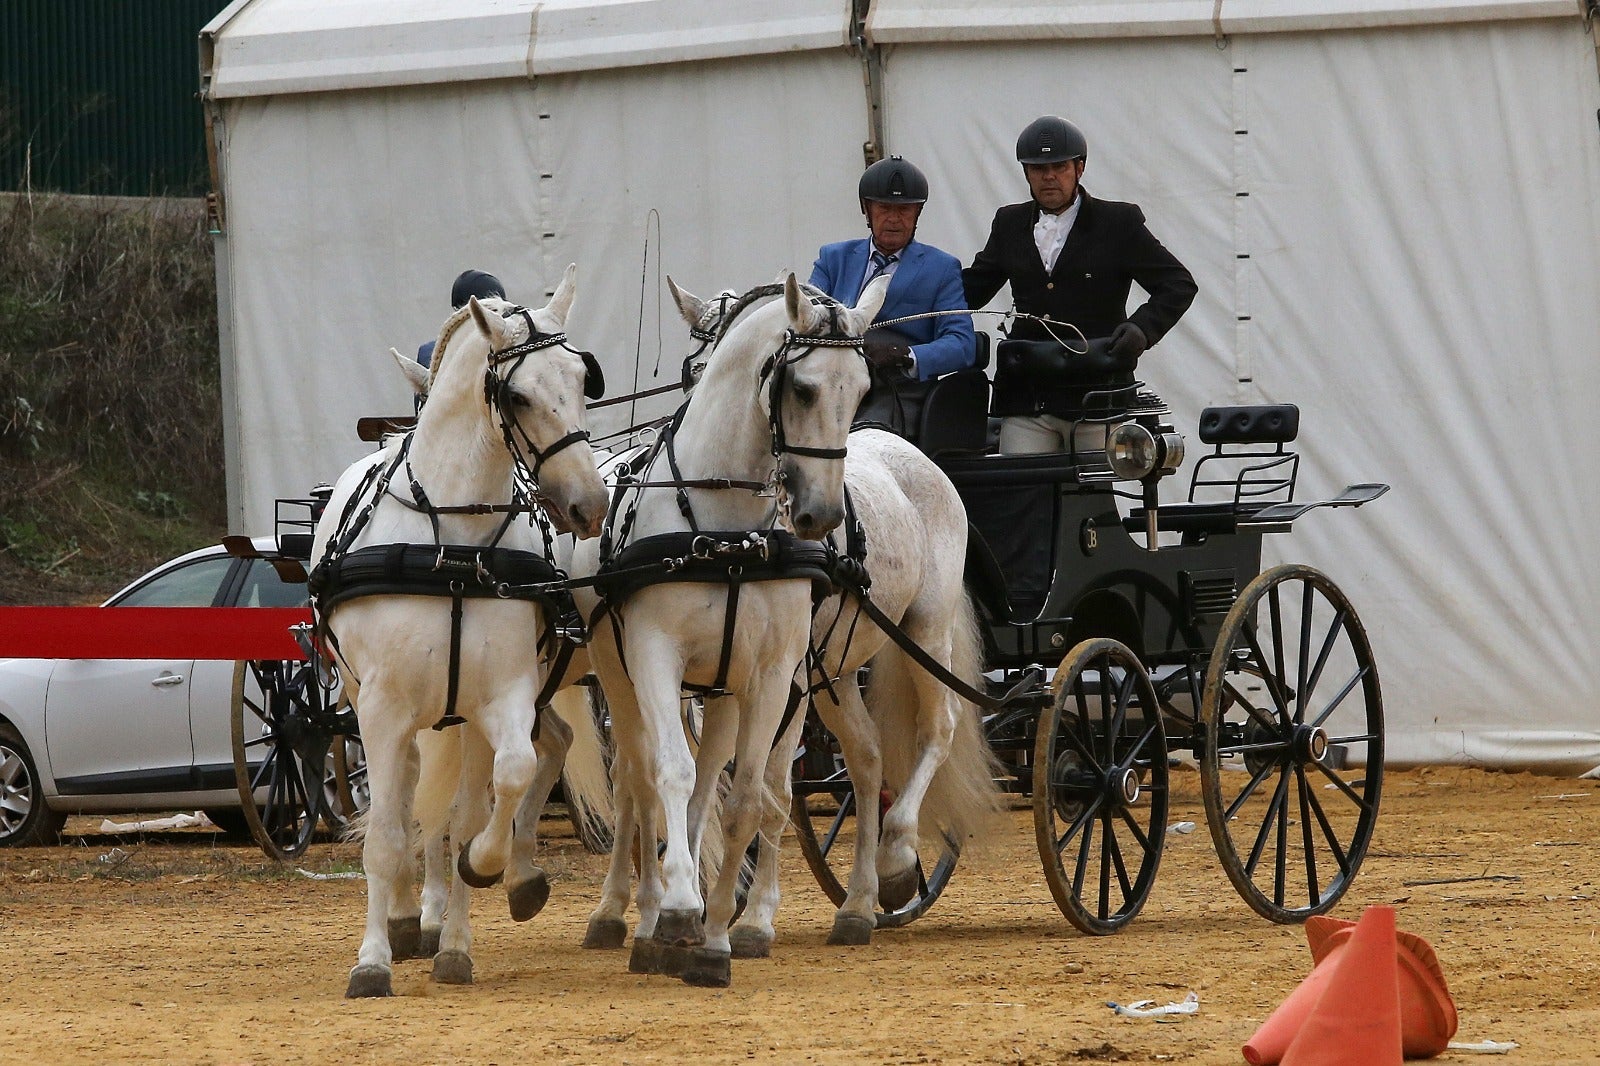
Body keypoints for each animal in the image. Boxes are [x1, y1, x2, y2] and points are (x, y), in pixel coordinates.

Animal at [310, 267, 604, 998]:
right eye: (518, 395)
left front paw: (474, 901)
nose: (588, 505)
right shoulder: (384, 709)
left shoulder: (497, 699)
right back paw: (404, 916)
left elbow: (499, 788)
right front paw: (373, 960)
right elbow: (388, 834)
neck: (451, 541)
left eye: (581, 379)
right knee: (407, 801)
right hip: (377, 706)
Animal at [572, 270, 876, 985]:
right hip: (617, 672)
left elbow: (741, 800)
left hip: (722, 688)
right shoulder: (655, 657)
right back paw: (639, 917)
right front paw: (681, 910)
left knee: (709, 778)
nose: (821, 515)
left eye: (862, 389)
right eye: (802, 387)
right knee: (637, 781)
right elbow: (669, 777)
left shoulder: (768, 674)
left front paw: (714, 941)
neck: (726, 531)